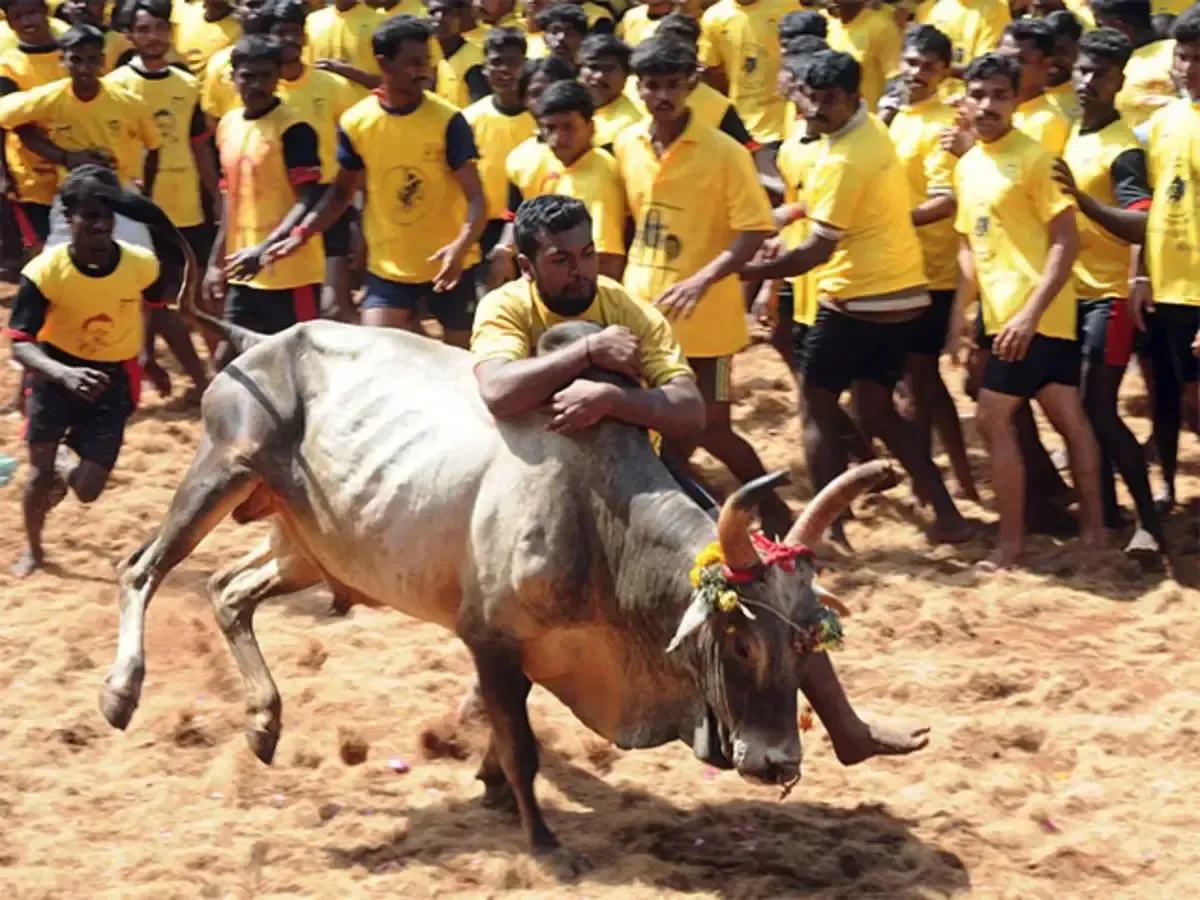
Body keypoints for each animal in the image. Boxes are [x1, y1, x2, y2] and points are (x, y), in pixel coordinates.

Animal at [100, 302, 890, 877]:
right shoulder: (489, 637)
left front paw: (489, 785)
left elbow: (509, 730)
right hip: (221, 470)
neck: (598, 520)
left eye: (806, 642)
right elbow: (523, 746)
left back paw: (264, 722)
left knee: (228, 590)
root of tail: (261, 339)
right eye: (740, 640)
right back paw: (121, 692)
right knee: (142, 568)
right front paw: (543, 842)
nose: (778, 762)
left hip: (308, 548)